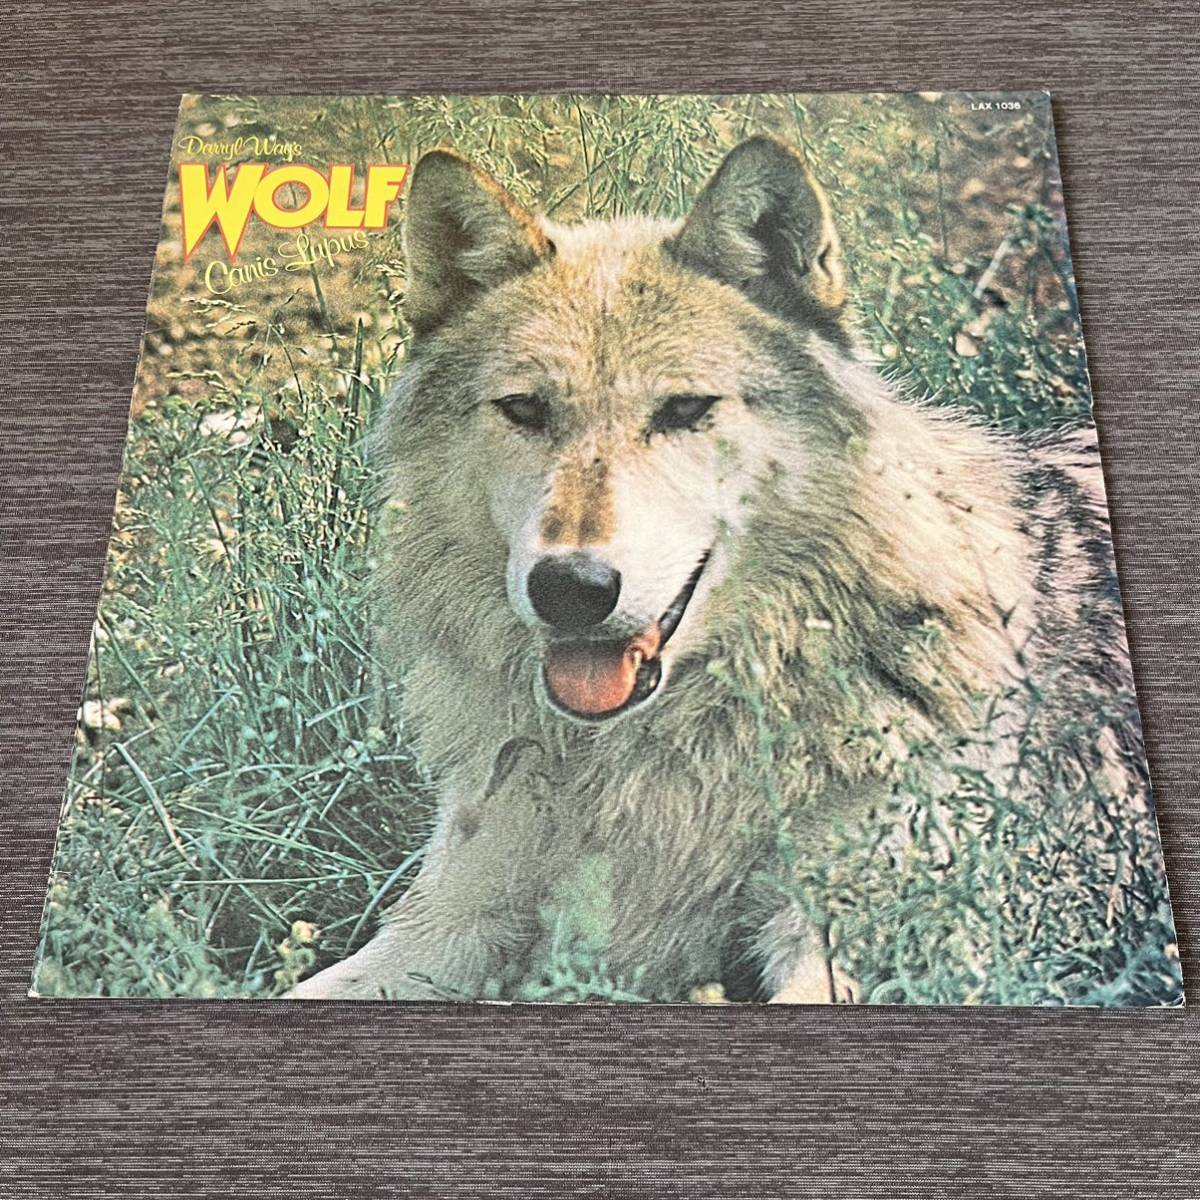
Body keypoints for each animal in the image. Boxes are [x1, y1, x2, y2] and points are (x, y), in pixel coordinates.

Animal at [288, 136, 1134, 1002]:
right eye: (524, 410)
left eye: (686, 410)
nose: (571, 588)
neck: (654, 756)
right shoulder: (445, 926)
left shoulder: (872, 953)